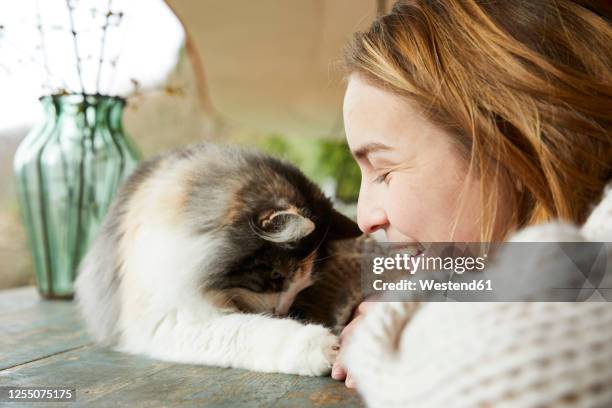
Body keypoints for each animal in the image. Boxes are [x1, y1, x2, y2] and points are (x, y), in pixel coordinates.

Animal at [74, 143, 366, 376]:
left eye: (302, 287)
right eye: (276, 278)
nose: (282, 312)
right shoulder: (167, 317)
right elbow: (247, 330)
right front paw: (320, 346)